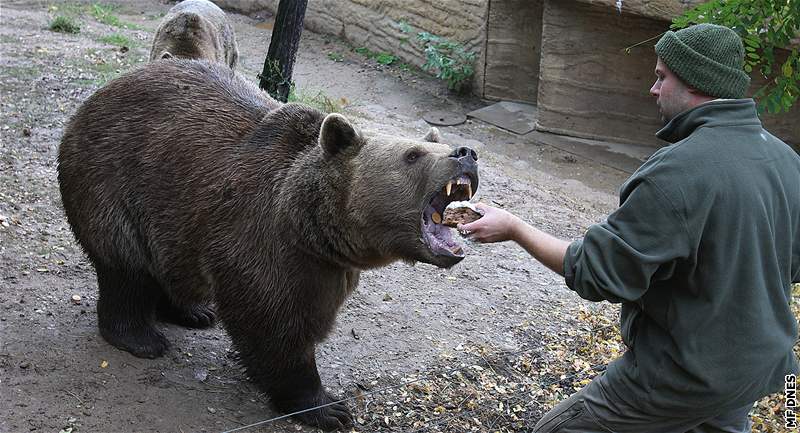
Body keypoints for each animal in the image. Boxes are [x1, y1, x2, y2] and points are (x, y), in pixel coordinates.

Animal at [57, 60, 482, 428]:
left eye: (430, 144)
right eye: (413, 155)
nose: (467, 153)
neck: (311, 228)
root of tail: (103, 91)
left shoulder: (325, 267)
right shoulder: (262, 242)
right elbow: (275, 325)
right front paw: (327, 407)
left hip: (170, 219)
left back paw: (194, 311)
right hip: (114, 181)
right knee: (126, 268)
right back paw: (140, 337)